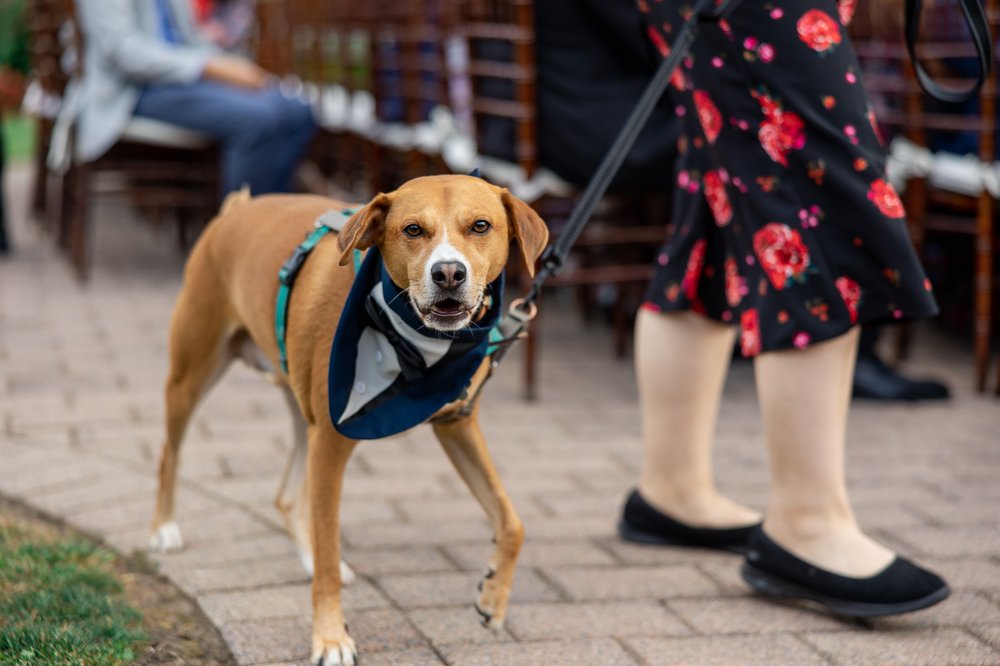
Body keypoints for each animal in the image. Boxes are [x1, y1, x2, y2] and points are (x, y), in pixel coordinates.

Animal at [148, 176, 548, 664]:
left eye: (481, 226)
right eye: (413, 230)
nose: (449, 273)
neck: (416, 346)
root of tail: (236, 209)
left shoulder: (457, 424)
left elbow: (513, 522)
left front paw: (493, 598)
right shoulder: (332, 444)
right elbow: (328, 545)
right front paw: (330, 636)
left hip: (302, 404)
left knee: (287, 497)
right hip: (192, 374)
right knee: (170, 453)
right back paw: (165, 528)